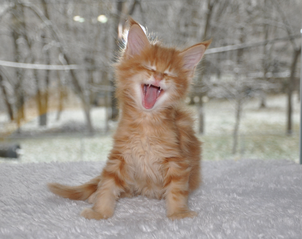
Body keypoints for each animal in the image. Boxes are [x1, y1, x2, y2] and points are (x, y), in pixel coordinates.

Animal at [48, 18, 211, 220]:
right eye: (149, 67)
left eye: (169, 73)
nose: (158, 76)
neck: (145, 123)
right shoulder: (119, 156)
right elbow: (107, 185)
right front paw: (99, 212)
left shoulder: (177, 160)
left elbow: (177, 191)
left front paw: (178, 214)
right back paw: (94, 196)